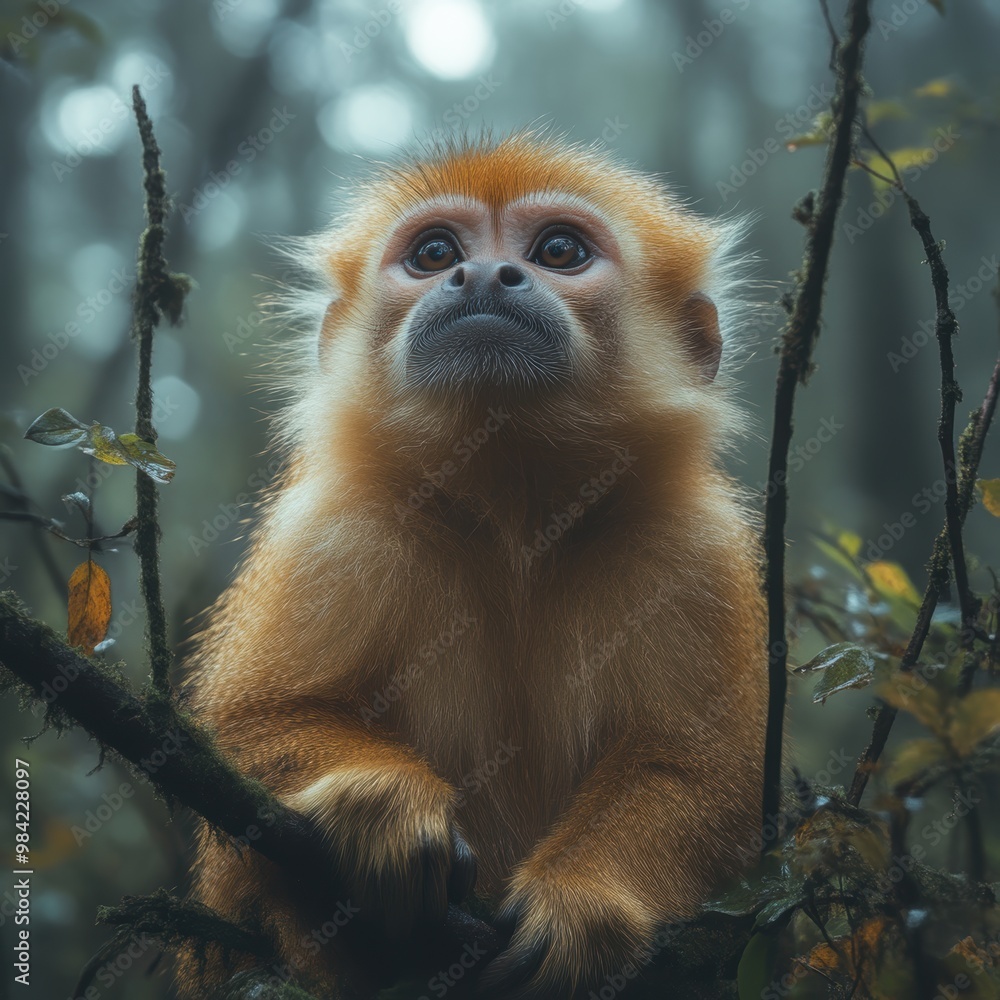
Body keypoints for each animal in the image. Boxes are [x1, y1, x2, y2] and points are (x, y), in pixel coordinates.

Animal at [177, 131, 768, 999]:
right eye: (435, 254)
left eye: (559, 251)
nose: (484, 274)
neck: (512, 521)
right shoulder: (334, 529)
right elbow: (255, 723)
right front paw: (376, 806)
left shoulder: (696, 547)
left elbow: (704, 772)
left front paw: (587, 904)